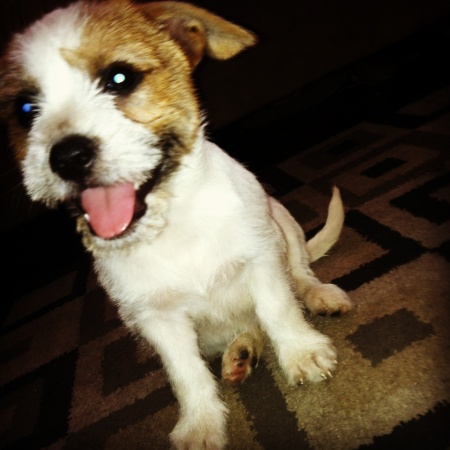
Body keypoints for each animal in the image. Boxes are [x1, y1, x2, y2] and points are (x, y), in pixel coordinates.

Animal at [0, 1, 352, 448]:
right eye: (25, 109)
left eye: (119, 77)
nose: (66, 157)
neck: (172, 224)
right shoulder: (157, 319)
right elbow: (185, 374)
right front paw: (201, 424)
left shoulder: (261, 259)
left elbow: (279, 309)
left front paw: (300, 354)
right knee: (250, 326)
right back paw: (242, 351)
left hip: (282, 221)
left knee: (300, 274)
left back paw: (318, 297)